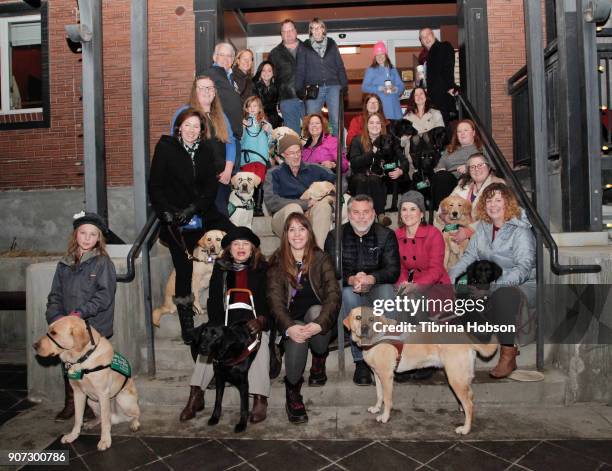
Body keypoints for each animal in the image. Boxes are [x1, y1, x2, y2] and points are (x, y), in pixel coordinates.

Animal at [33, 318, 140, 452]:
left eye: (54, 333)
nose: (34, 346)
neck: (82, 359)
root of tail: (116, 417)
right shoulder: (78, 393)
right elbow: (78, 418)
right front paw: (73, 435)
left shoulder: (103, 394)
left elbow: (105, 423)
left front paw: (105, 440)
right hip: (91, 401)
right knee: (102, 417)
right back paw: (91, 423)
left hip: (122, 399)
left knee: (134, 414)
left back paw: (135, 423)